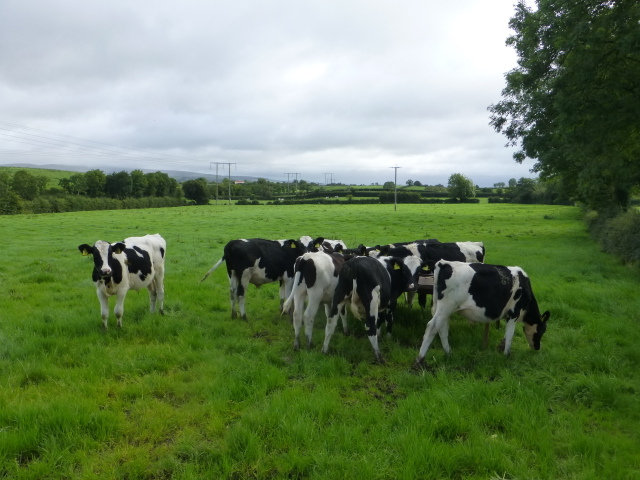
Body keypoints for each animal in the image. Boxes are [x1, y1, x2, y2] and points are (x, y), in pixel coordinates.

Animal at [416, 262, 552, 368]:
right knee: (432, 327)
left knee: (442, 329)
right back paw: (420, 360)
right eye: (542, 330)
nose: (537, 347)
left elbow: (505, 336)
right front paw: (507, 355)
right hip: (446, 306)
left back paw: (448, 353)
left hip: (441, 309)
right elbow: (510, 336)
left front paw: (501, 347)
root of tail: (444, 263)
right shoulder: (514, 313)